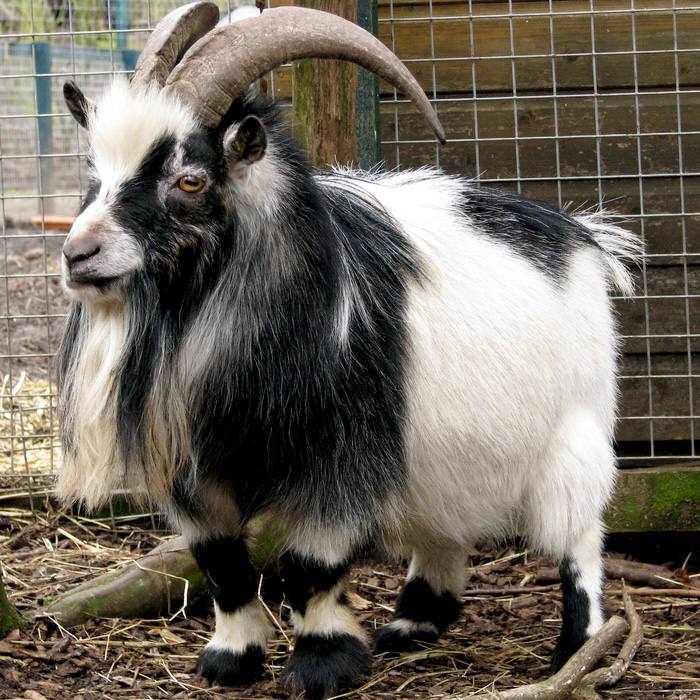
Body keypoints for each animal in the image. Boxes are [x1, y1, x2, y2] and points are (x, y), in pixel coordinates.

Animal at [57, 4, 641, 699]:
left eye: (190, 180)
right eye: (94, 174)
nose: (77, 253)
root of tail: (581, 235)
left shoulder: (340, 456)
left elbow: (311, 563)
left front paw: (321, 663)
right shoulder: (195, 470)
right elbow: (222, 564)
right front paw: (232, 658)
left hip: (573, 427)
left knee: (581, 534)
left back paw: (578, 646)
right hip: (440, 452)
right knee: (443, 525)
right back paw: (413, 623)